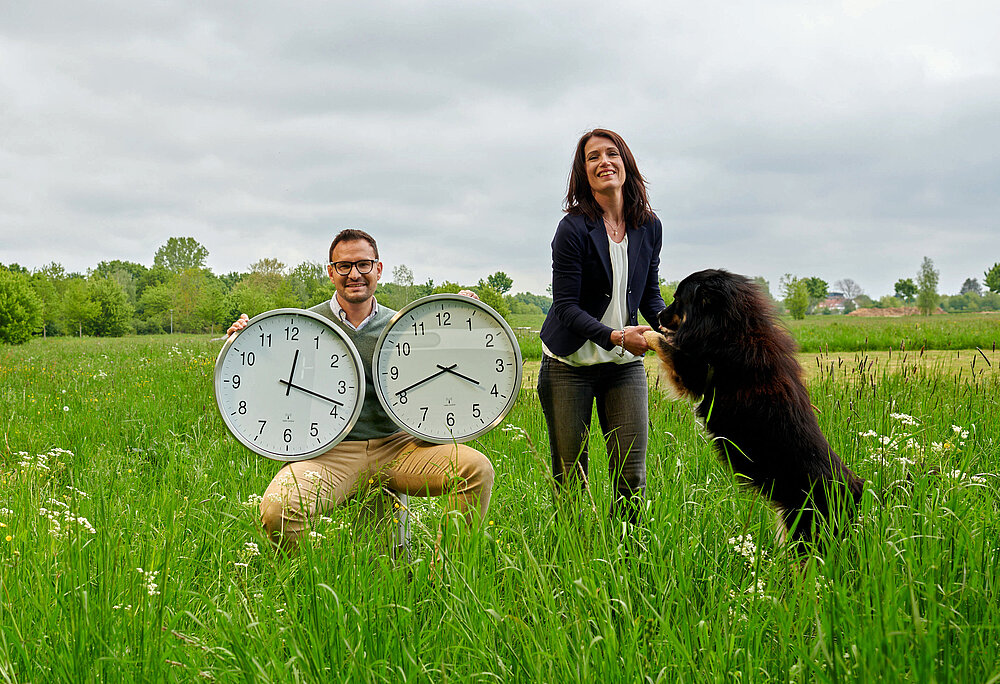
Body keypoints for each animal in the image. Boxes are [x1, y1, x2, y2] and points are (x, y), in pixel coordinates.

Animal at [644, 270, 864, 548]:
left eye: (677, 299)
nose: (658, 316)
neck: (730, 326)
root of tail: (854, 490)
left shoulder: (694, 372)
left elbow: (665, 345)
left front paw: (642, 334)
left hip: (805, 534)